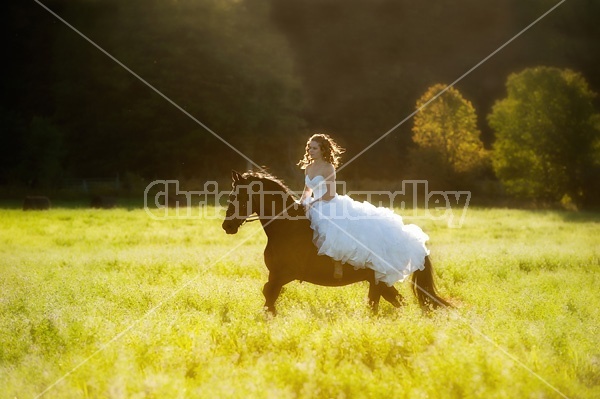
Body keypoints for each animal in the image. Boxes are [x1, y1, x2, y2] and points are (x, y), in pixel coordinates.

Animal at [223, 170, 448, 314]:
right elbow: (269, 294)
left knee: (387, 304)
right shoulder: (277, 274)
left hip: (379, 281)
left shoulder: (284, 274)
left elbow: (269, 293)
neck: (287, 228)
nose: (227, 226)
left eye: (239, 196)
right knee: (389, 303)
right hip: (378, 282)